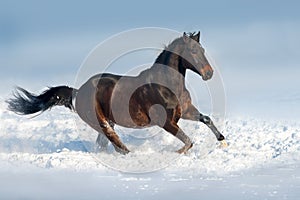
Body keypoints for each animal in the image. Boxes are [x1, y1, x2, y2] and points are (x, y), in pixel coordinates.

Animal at [6, 31, 227, 155]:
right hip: (103, 123)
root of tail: (77, 92)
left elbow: (206, 119)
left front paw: (222, 140)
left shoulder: (185, 111)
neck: (165, 84)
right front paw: (177, 152)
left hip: (107, 123)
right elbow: (188, 141)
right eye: (193, 52)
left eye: (202, 50)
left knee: (105, 145)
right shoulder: (165, 122)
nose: (209, 74)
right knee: (118, 145)